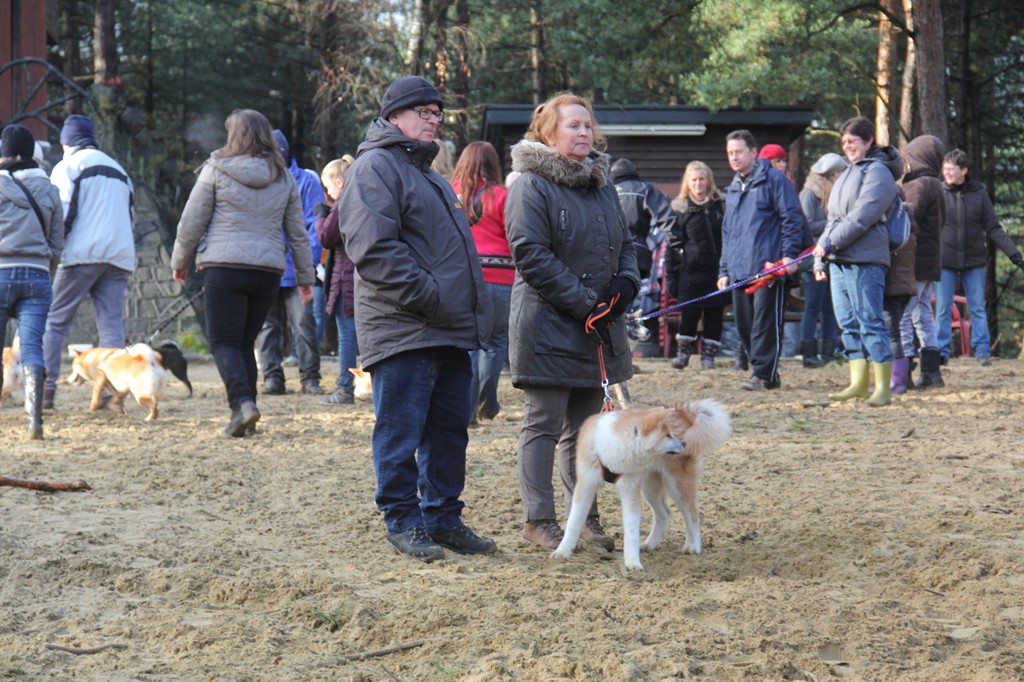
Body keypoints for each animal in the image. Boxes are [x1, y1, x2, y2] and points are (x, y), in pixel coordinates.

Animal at [557, 399, 733, 569]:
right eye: (667, 435)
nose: (683, 443)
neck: (613, 449)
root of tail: (684, 416)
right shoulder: (585, 486)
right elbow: (574, 521)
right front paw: (562, 551)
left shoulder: (630, 491)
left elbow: (632, 531)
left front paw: (633, 564)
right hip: (650, 488)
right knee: (664, 514)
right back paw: (651, 544)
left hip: (677, 485)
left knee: (693, 515)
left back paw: (693, 547)